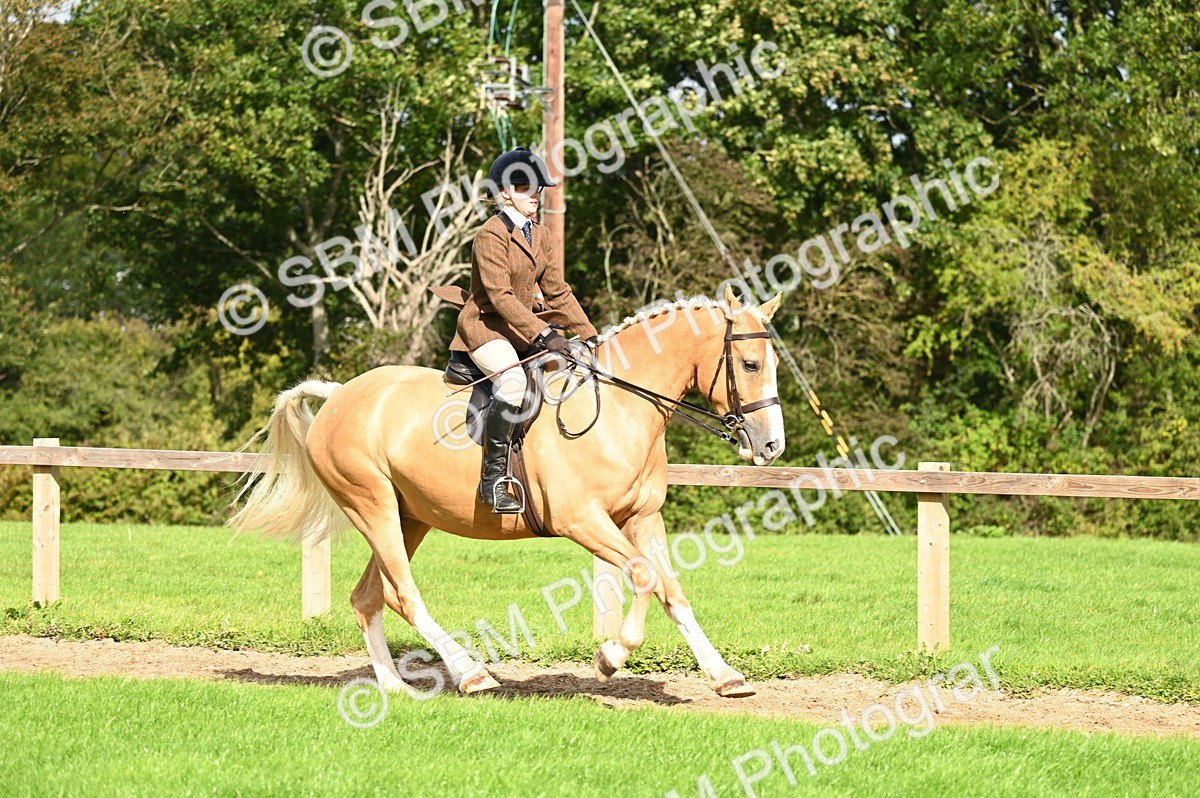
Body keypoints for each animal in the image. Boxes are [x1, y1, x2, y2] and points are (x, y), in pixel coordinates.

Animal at [229, 287, 786, 698]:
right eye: (751, 365)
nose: (771, 445)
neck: (620, 409)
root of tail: (340, 393)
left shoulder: (643, 518)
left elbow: (672, 589)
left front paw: (725, 676)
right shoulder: (582, 520)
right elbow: (646, 577)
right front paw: (609, 658)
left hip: (410, 517)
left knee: (370, 597)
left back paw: (393, 686)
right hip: (373, 507)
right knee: (403, 593)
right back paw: (472, 674)